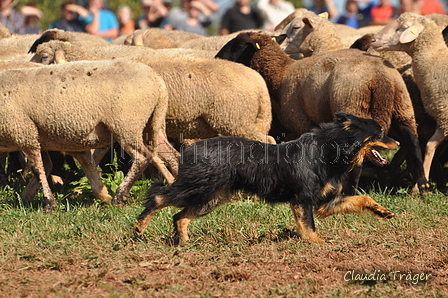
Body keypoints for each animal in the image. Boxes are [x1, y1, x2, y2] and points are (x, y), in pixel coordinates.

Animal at [135, 113, 398, 243]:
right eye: (380, 133)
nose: (398, 142)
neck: (329, 152)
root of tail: (189, 149)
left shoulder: (325, 203)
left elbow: (361, 199)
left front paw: (382, 211)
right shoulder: (302, 200)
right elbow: (309, 227)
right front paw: (316, 245)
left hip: (212, 197)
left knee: (179, 217)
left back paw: (185, 243)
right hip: (197, 186)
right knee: (158, 198)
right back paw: (140, 228)